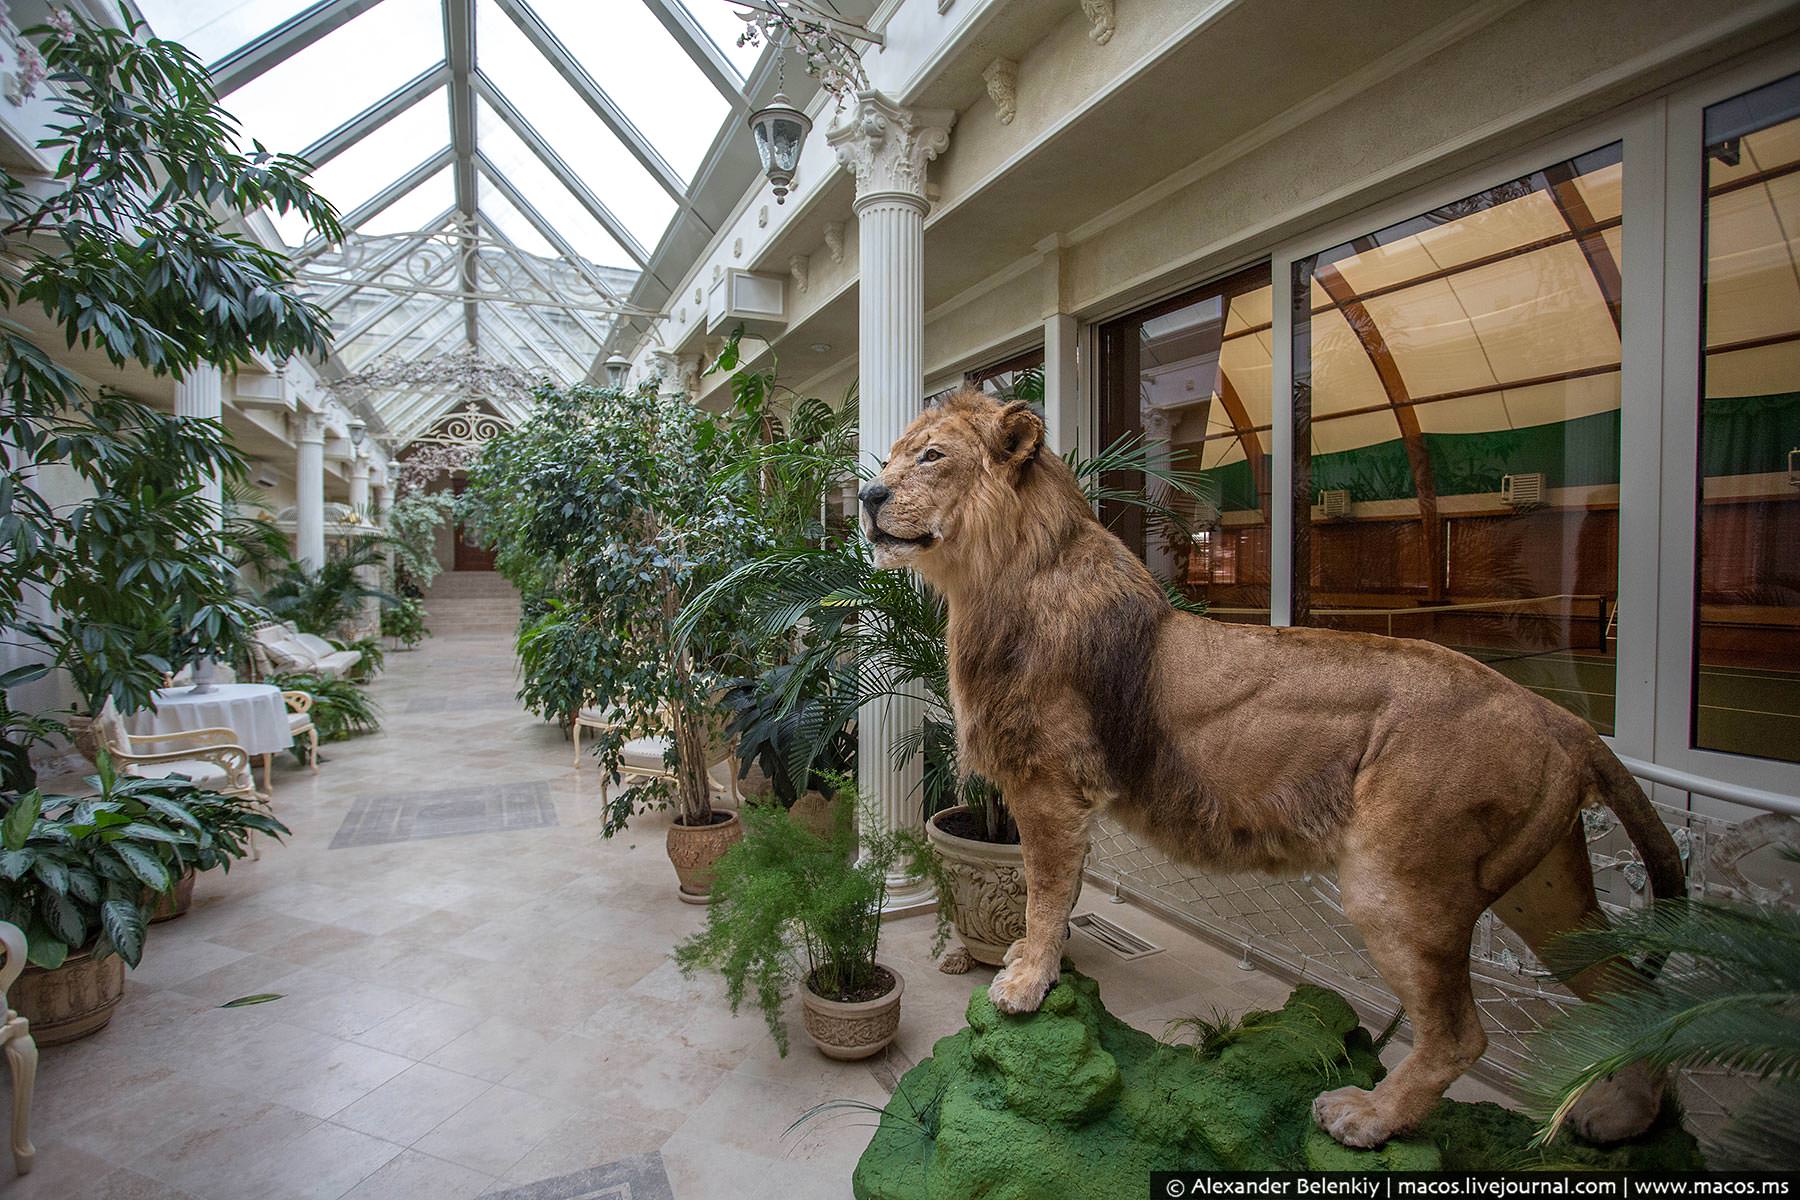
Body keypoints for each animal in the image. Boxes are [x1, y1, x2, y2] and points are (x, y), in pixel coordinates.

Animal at [856, 390, 1684, 1151]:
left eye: (930, 456)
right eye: (894, 455)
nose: (867, 496)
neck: (990, 579)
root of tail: (1561, 717)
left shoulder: (1051, 786)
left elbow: (1046, 892)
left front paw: (1026, 983)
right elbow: (1052, 896)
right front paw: (1033, 967)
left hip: (1399, 884)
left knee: (1461, 1034)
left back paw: (1368, 1117)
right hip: (1545, 891)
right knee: (1630, 995)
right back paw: (1619, 1120)